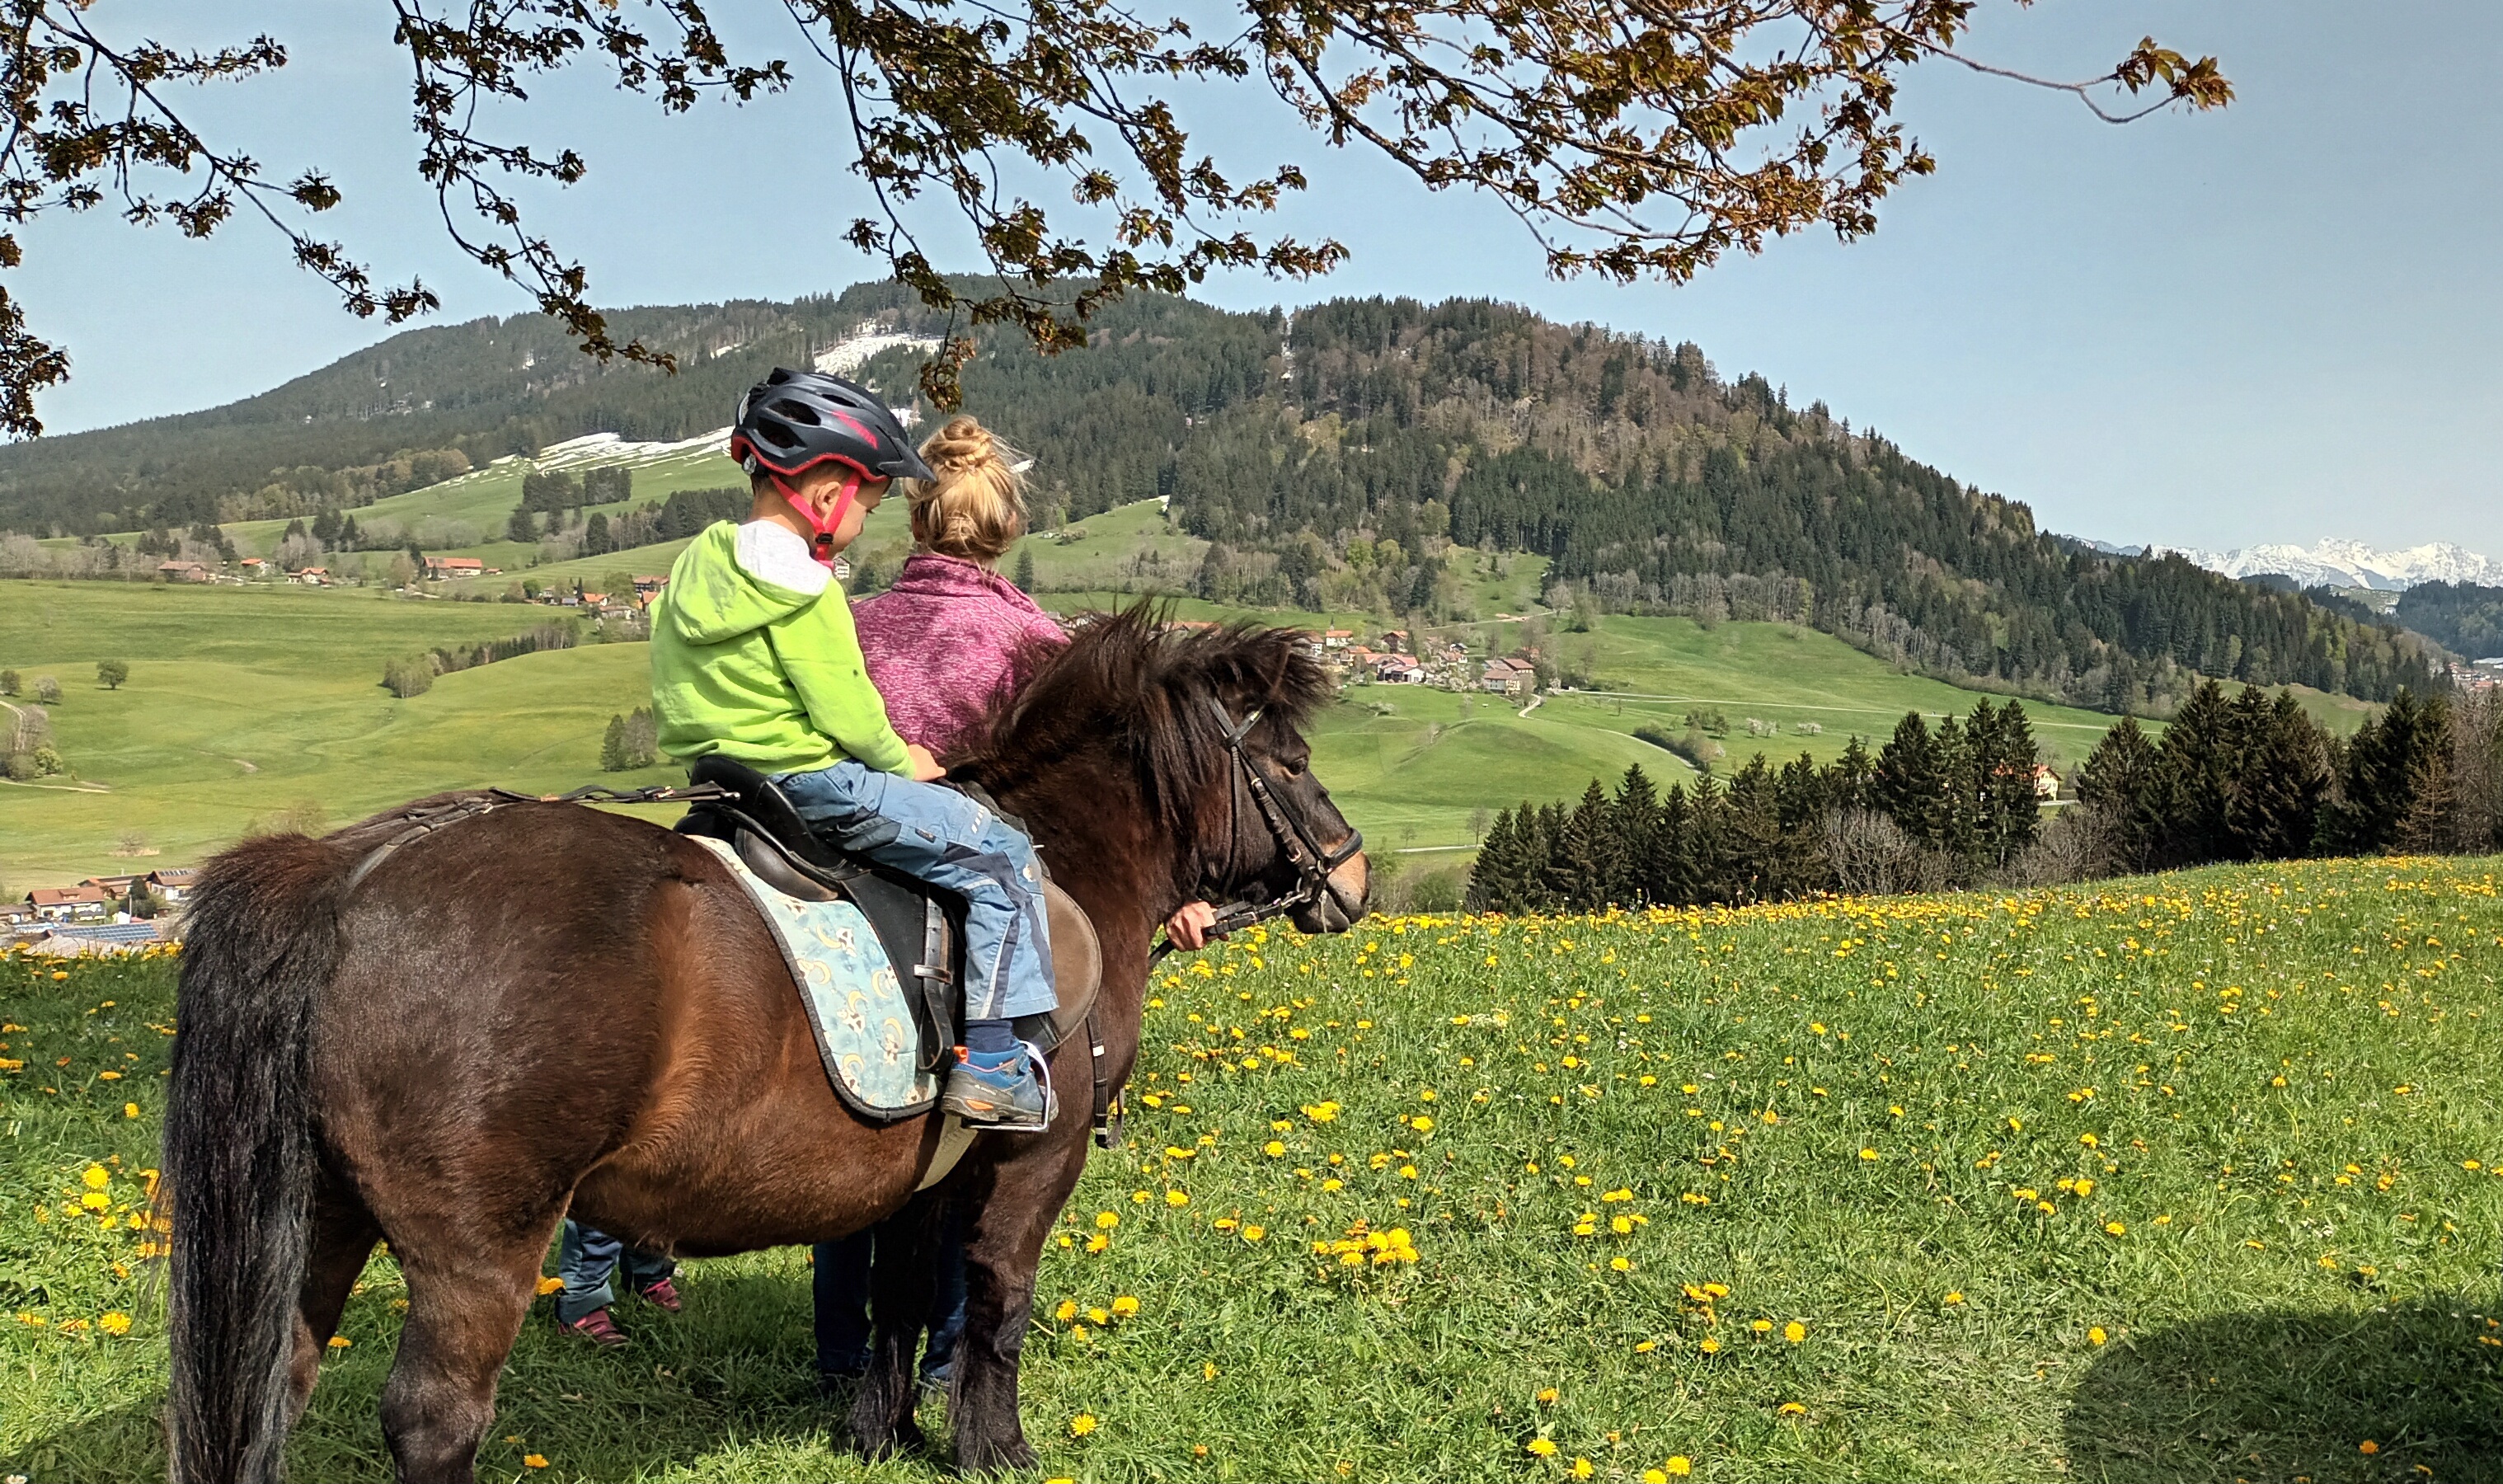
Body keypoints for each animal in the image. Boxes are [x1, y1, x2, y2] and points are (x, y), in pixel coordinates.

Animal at [161, 611, 1368, 1484]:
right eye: (1293, 760)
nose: (1352, 875)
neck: (1056, 866)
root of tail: (350, 870)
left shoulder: (921, 1173)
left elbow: (899, 1298)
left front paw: (882, 1435)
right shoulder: (1033, 1161)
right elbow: (998, 1304)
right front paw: (995, 1449)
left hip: (322, 1215)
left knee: (278, 1382)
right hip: (478, 1249)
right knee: (434, 1420)